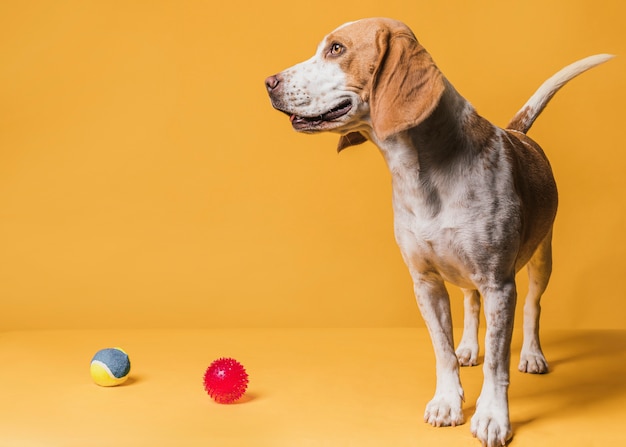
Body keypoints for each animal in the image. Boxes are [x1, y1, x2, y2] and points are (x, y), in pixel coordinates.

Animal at [264, 16, 608, 444]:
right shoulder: (426, 282)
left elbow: (497, 362)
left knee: (533, 306)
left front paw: (492, 416)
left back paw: (531, 353)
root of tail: (519, 134)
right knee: (471, 304)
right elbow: (442, 351)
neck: (423, 176)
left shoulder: (499, 285)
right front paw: (447, 401)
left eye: (336, 49)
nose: (269, 82)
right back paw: (469, 347)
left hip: (541, 259)